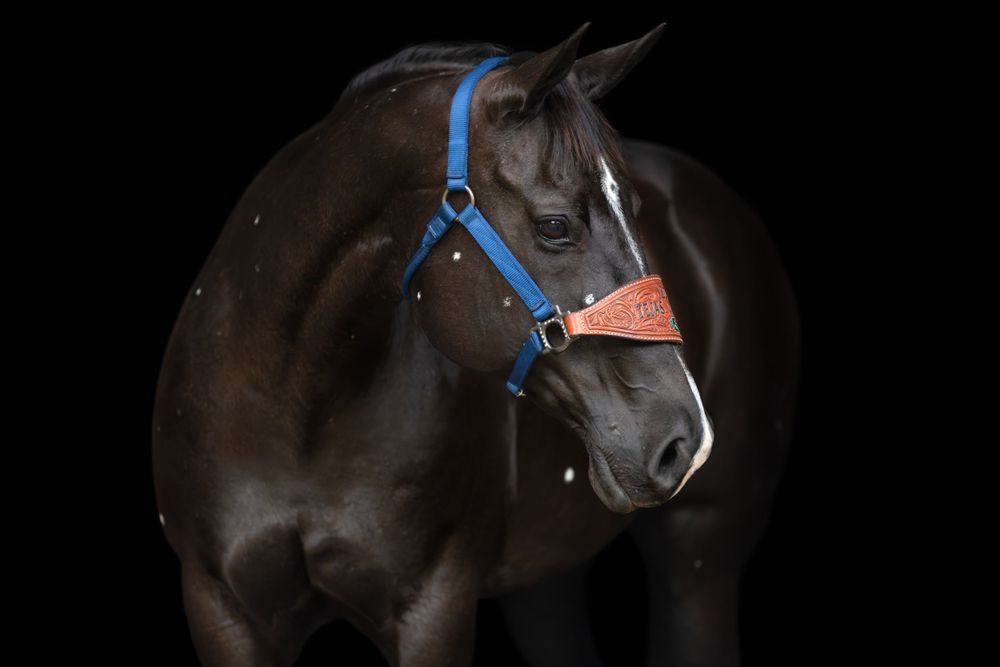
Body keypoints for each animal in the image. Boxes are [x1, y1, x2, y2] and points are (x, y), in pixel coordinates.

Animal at [152, 23, 800, 667]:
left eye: (635, 209)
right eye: (555, 225)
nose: (687, 441)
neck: (293, 415)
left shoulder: (434, 609)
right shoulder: (222, 608)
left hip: (700, 558)